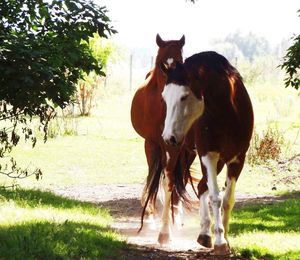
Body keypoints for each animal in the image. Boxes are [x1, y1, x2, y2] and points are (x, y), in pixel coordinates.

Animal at [130, 34, 196, 244]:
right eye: (161, 64)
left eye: (181, 62)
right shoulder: (154, 143)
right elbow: (156, 179)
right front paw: (153, 223)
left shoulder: (178, 147)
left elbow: (172, 182)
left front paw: (167, 229)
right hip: (154, 147)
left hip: (186, 151)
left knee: (181, 178)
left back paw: (177, 216)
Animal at [159, 51, 253, 255]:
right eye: (164, 97)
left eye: (184, 96)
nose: (168, 136)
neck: (227, 109)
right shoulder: (208, 154)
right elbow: (215, 197)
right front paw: (220, 241)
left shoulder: (237, 159)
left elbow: (227, 199)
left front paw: (225, 238)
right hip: (175, 153)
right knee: (168, 185)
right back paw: (164, 233)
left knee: (202, 186)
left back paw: (204, 233)